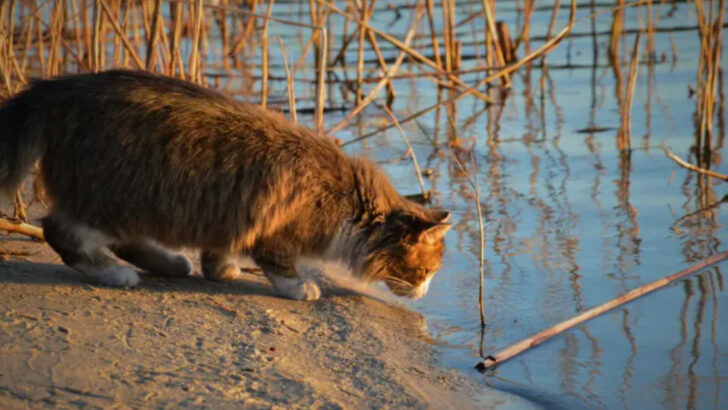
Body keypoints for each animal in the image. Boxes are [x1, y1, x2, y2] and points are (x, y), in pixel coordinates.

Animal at [0, 69, 452, 302]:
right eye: (426, 271)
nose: (425, 293)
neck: (346, 201)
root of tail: (59, 88)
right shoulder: (275, 227)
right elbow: (280, 263)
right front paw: (299, 287)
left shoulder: (231, 211)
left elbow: (218, 251)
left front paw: (220, 270)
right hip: (114, 196)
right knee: (59, 231)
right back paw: (114, 274)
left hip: (139, 202)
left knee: (125, 241)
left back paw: (170, 263)